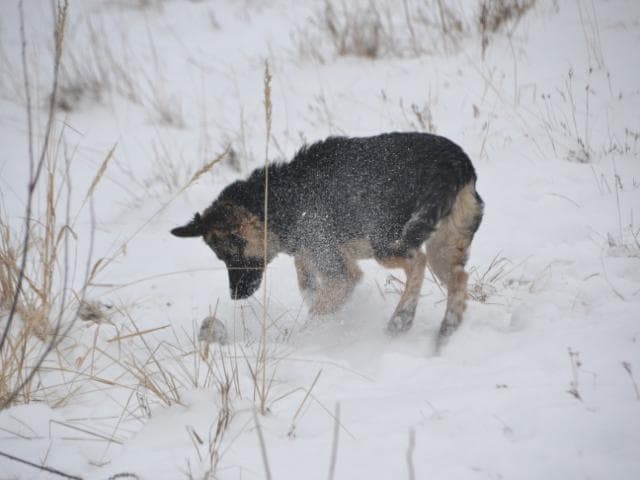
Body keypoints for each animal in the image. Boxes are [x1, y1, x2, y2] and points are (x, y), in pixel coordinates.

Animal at [172, 133, 482, 346]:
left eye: (231, 254)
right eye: (220, 257)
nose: (235, 295)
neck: (281, 198)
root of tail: (454, 161)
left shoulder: (340, 272)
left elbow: (318, 309)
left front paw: (304, 339)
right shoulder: (311, 255)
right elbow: (307, 284)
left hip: (387, 239)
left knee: (417, 260)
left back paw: (402, 318)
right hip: (445, 244)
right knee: (458, 277)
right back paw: (447, 328)